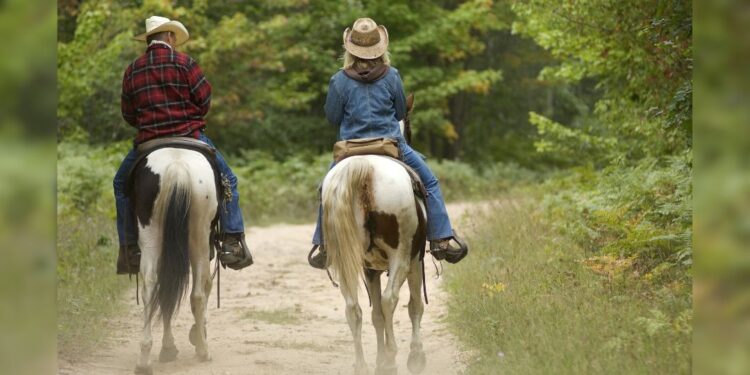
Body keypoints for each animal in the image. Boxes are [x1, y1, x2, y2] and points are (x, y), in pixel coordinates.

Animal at [132, 148, 217, 374]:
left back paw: (144, 361)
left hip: (150, 234)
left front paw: (168, 348)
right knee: (197, 294)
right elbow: (206, 286)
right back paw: (204, 351)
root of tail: (177, 166)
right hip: (199, 236)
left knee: (151, 286)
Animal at [324, 94, 428, 375]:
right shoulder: (415, 260)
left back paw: (361, 364)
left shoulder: (369, 268)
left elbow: (377, 315)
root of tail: (364, 169)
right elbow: (414, 306)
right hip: (400, 257)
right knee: (391, 299)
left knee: (354, 308)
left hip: (346, 259)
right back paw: (392, 358)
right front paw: (414, 357)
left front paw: (379, 359)